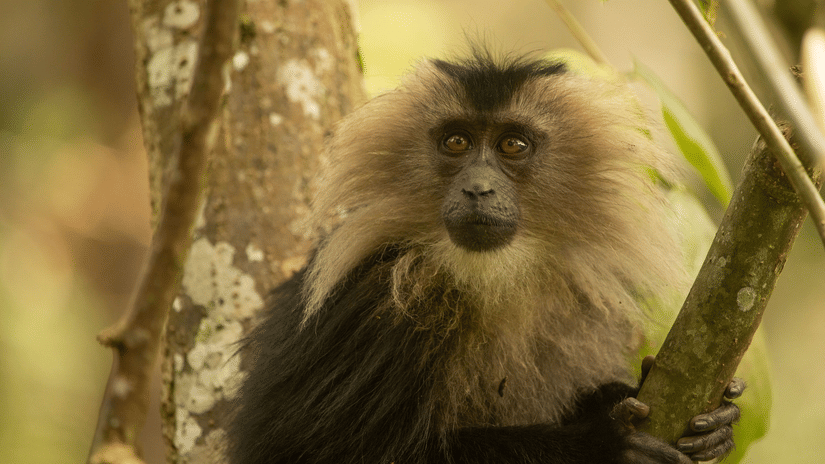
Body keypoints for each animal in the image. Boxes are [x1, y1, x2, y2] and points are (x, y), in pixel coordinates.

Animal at [226, 50, 743, 464]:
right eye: (456, 142)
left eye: (512, 144)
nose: (478, 188)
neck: (491, 275)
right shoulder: (370, 304)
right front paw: (600, 444)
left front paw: (677, 409)